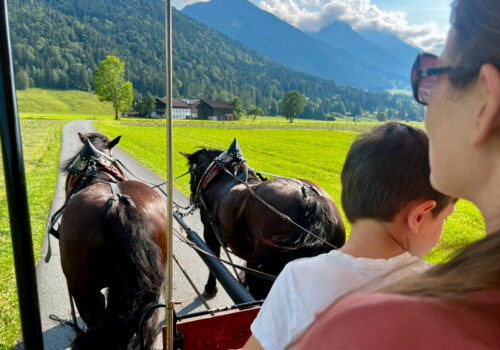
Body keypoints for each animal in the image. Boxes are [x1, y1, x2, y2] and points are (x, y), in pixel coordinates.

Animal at [182, 139, 346, 298]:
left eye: (191, 171)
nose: (193, 196)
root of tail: (313, 200)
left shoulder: (209, 231)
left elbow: (213, 259)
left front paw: (210, 288)